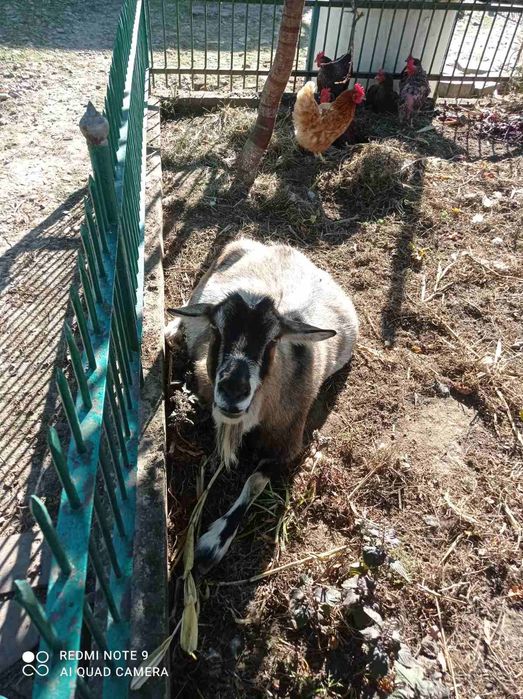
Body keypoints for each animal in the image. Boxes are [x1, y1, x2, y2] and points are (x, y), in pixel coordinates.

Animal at [165, 238, 358, 572]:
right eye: (217, 329)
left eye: (273, 340)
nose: (233, 391)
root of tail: (285, 249)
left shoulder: (289, 446)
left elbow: (254, 482)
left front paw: (212, 543)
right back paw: (172, 329)